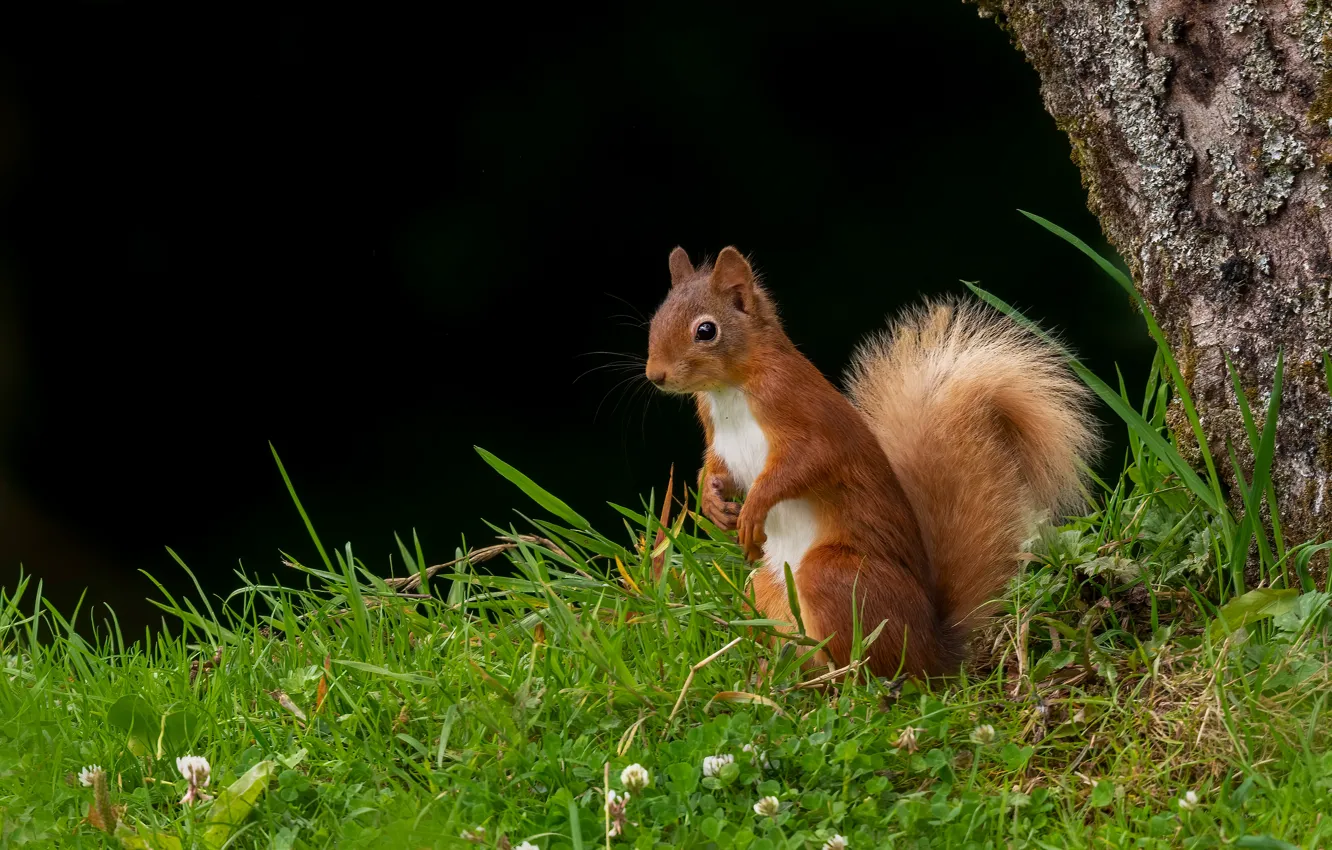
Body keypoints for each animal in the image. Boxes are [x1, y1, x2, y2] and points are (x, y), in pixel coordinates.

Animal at [645, 246, 1098, 678]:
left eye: (706, 330)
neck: (729, 391)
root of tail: (934, 648)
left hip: (834, 577)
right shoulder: (719, 440)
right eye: (656, 318)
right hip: (767, 588)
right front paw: (713, 502)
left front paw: (754, 507)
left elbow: (804, 466)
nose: (655, 375)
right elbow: (715, 469)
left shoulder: (805, 419)